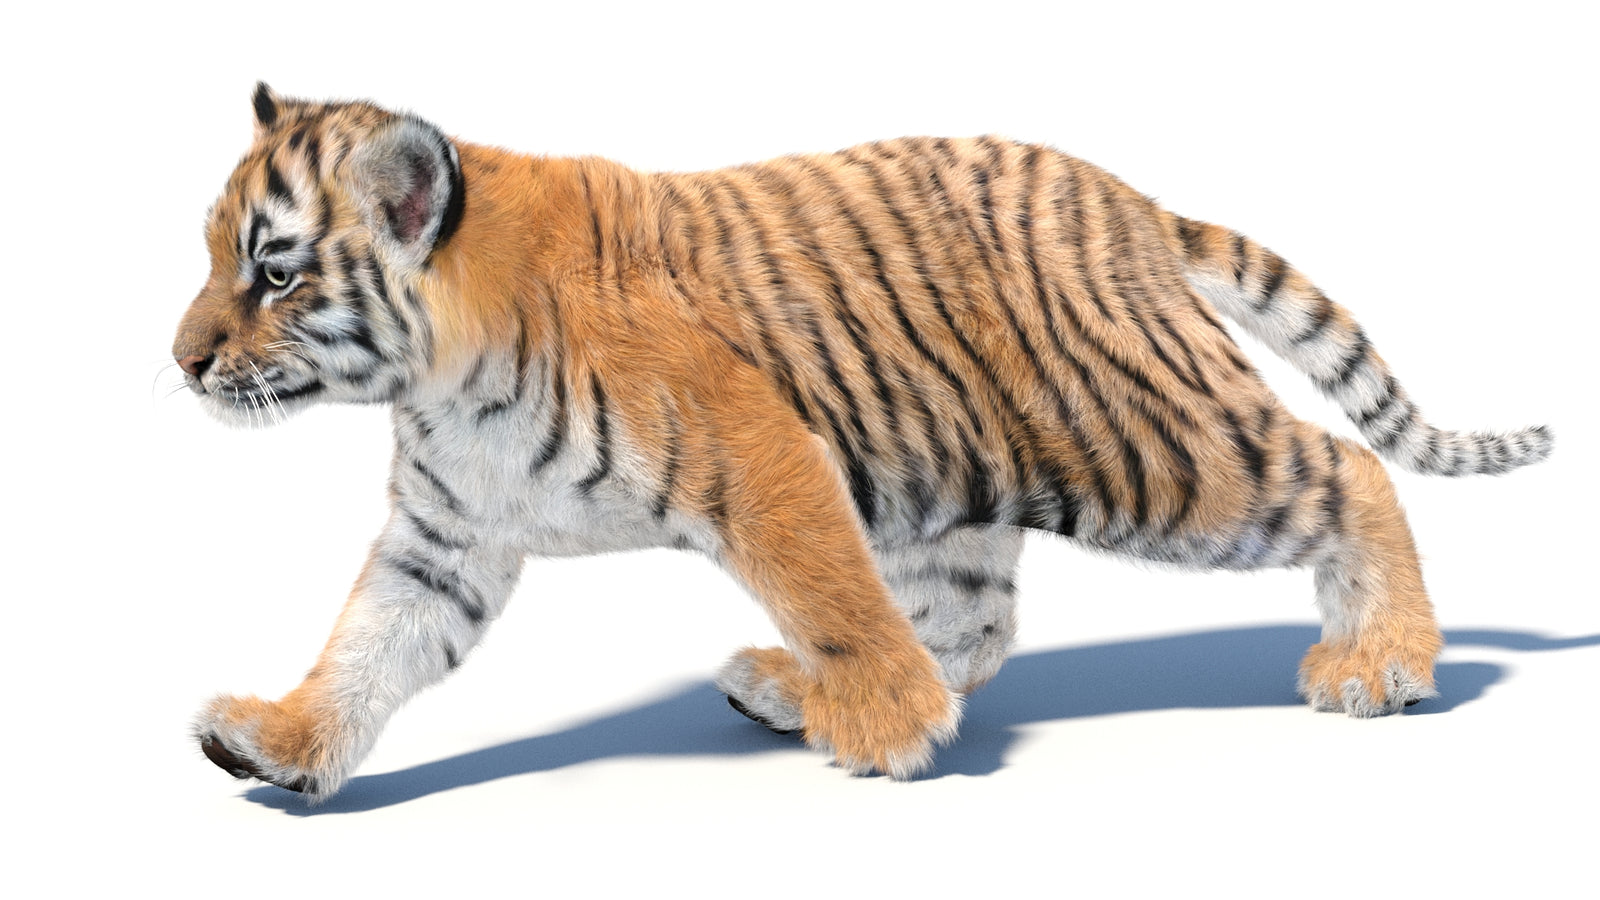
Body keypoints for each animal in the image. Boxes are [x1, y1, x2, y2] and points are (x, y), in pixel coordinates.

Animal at [174, 84, 1552, 802]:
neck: (440, 375)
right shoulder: (445, 536)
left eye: (275, 272)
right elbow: (370, 645)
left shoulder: (762, 452)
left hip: (1146, 449)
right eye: (213, 254)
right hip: (955, 484)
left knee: (1347, 468)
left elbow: (826, 587)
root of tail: (1123, 200)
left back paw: (1379, 662)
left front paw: (887, 727)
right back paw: (794, 690)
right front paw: (283, 743)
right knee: (975, 622)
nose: (183, 359)